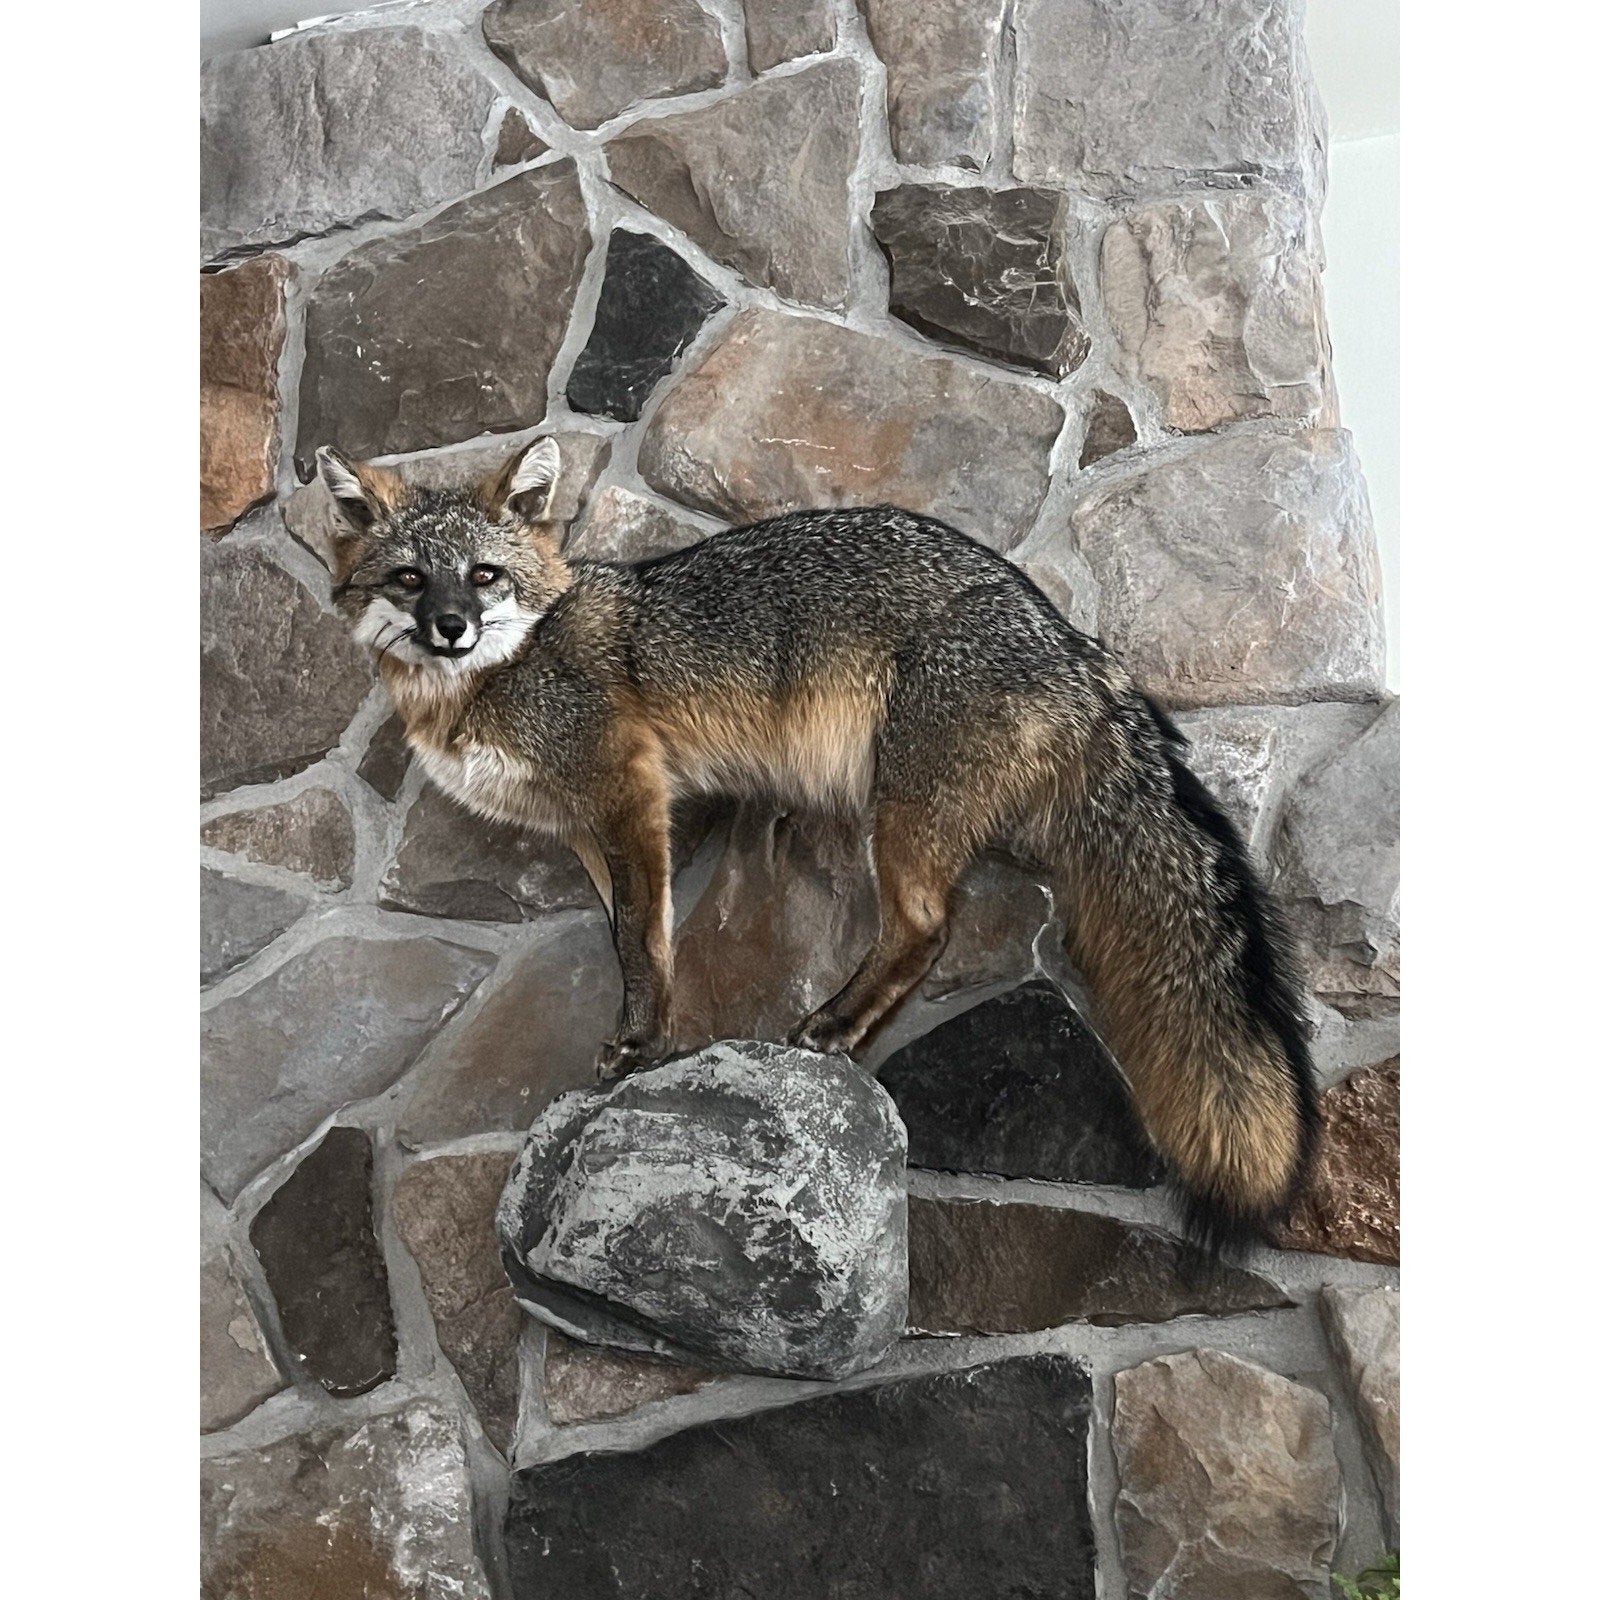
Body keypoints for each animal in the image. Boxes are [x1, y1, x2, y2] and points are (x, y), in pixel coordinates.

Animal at [315, 434, 1319, 1252]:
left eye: (483, 576)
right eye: (410, 580)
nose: (450, 627)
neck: (497, 676)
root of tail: (1077, 644)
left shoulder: (630, 793)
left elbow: (640, 938)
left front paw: (641, 1042)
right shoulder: (586, 831)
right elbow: (629, 933)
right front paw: (648, 1033)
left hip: (897, 815)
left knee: (924, 927)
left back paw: (832, 1024)